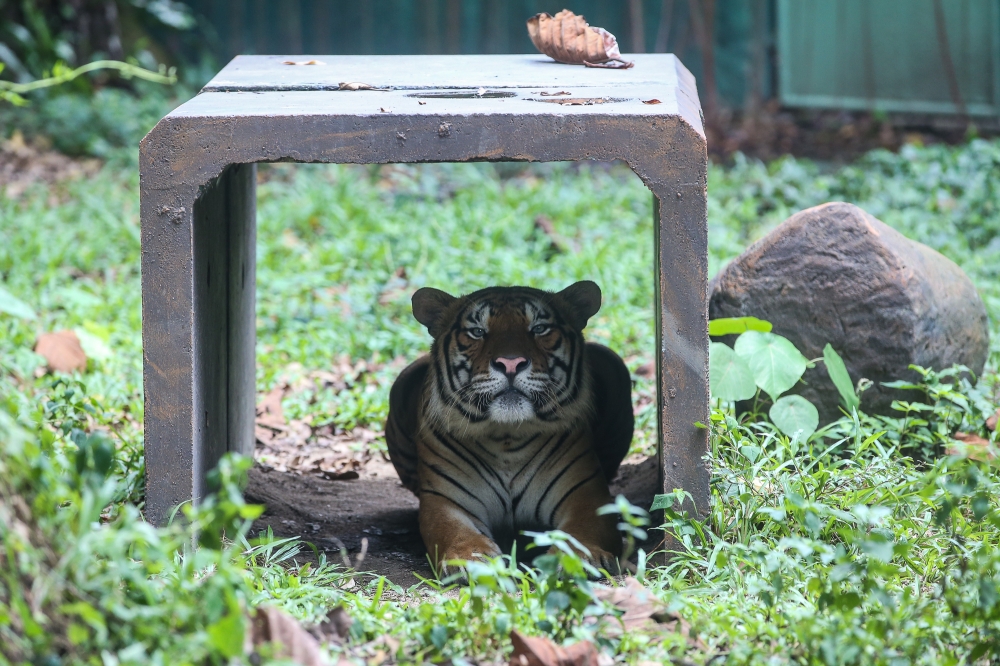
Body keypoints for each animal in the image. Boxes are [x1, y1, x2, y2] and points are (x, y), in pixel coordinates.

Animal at [382, 278, 632, 572]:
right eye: (477, 331)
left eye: (539, 328)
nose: (510, 363)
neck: (507, 436)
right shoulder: (446, 502)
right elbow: (456, 532)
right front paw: (471, 560)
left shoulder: (586, 494)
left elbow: (582, 534)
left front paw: (578, 559)